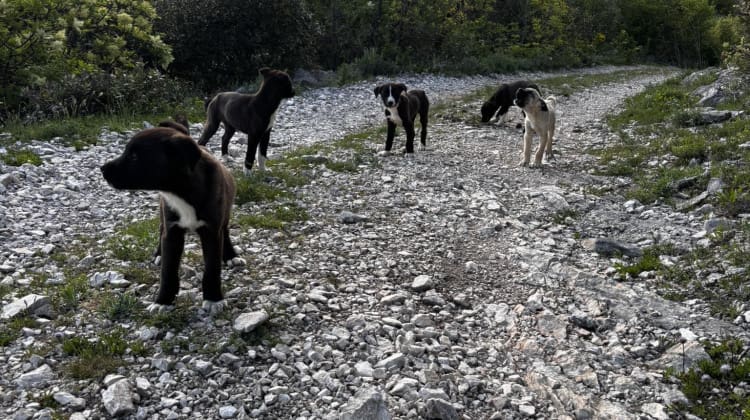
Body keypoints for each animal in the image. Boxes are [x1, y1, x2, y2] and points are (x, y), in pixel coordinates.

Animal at [101, 121, 238, 313]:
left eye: (134, 156)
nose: (102, 169)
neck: (181, 192)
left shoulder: (211, 231)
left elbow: (212, 268)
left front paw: (213, 299)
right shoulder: (172, 231)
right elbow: (168, 270)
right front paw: (163, 301)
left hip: (224, 214)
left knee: (225, 231)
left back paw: (231, 255)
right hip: (163, 214)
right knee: (160, 231)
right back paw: (158, 254)